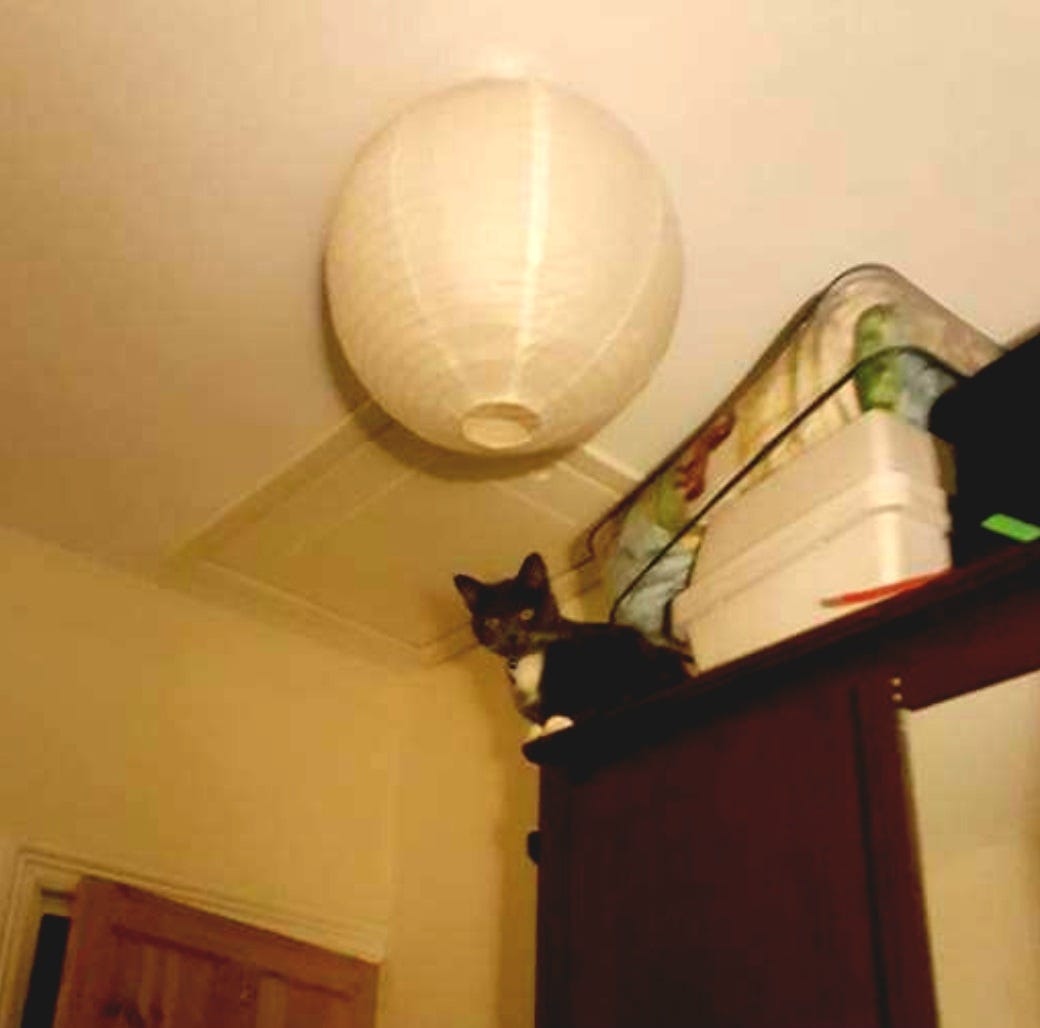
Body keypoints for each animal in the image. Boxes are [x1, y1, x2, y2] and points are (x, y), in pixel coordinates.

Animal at [453, 553, 690, 740]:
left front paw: (555, 723)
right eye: (492, 622)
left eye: (526, 613)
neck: (530, 660)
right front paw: (536, 730)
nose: (512, 636)